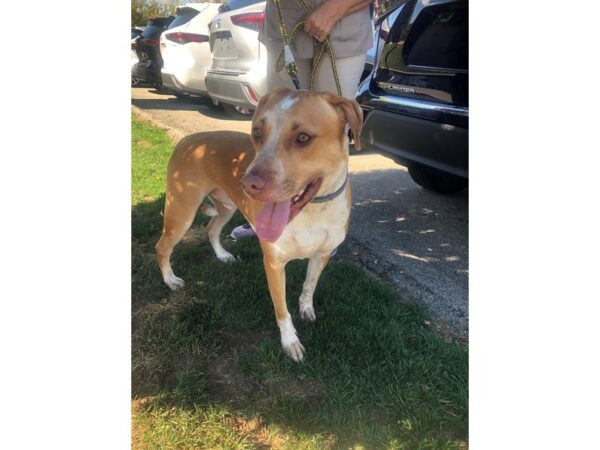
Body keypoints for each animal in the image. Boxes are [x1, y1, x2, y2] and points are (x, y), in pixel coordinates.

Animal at [156, 87, 360, 362]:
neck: (314, 210)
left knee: (211, 229)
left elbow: (309, 284)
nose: (248, 183)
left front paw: (306, 308)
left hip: (226, 208)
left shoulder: (323, 254)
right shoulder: (274, 263)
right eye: (257, 133)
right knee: (162, 247)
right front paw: (290, 342)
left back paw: (222, 255)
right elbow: (282, 309)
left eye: (303, 137)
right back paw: (170, 280)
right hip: (181, 212)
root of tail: (188, 140)